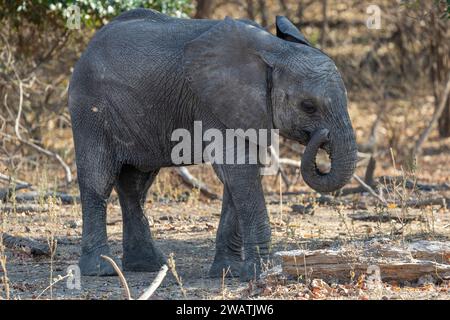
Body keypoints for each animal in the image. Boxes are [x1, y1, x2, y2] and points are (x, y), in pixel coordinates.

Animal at [69, 8, 358, 282]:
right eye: (308, 106)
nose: (321, 137)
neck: (273, 51)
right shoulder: (212, 103)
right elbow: (239, 170)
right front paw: (258, 273)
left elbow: (239, 176)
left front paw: (228, 272)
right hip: (90, 109)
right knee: (99, 179)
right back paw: (102, 270)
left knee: (135, 185)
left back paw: (148, 266)